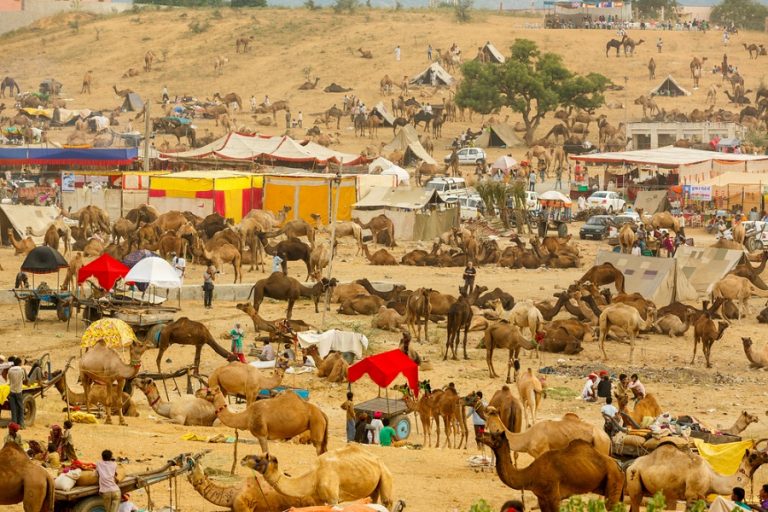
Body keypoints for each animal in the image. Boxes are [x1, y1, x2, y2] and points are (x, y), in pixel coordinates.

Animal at [243, 442, 392, 506]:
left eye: (258, 459)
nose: (243, 459)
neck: (314, 476)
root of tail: (379, 461)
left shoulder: (333, 499)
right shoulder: (319, 500)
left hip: (385, 474)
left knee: (387, 501)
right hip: (373, 485)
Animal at [480, 432, 624, 512]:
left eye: (493, 437)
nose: (480, 435)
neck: (530, 474)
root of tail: (619, 466)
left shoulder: (553, 496)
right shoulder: (542, 498)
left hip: (614, 480)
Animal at [628, 440, 764, 512]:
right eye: (754, 455)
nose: (766, 454)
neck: (711, 478)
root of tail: (631, 465)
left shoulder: (701, 497)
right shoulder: (692, 496)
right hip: (634, 480)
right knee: (635, 501)